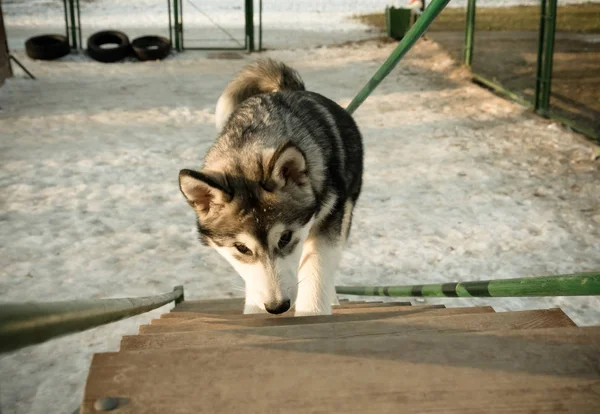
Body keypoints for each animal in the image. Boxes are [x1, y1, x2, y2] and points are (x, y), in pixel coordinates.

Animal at [178, 58, 364, 316]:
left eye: (285, 238)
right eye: (241, 248)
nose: (277, 307)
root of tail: (286, 89)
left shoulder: (330, 220)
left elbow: (317, 271)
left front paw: (312, 312)